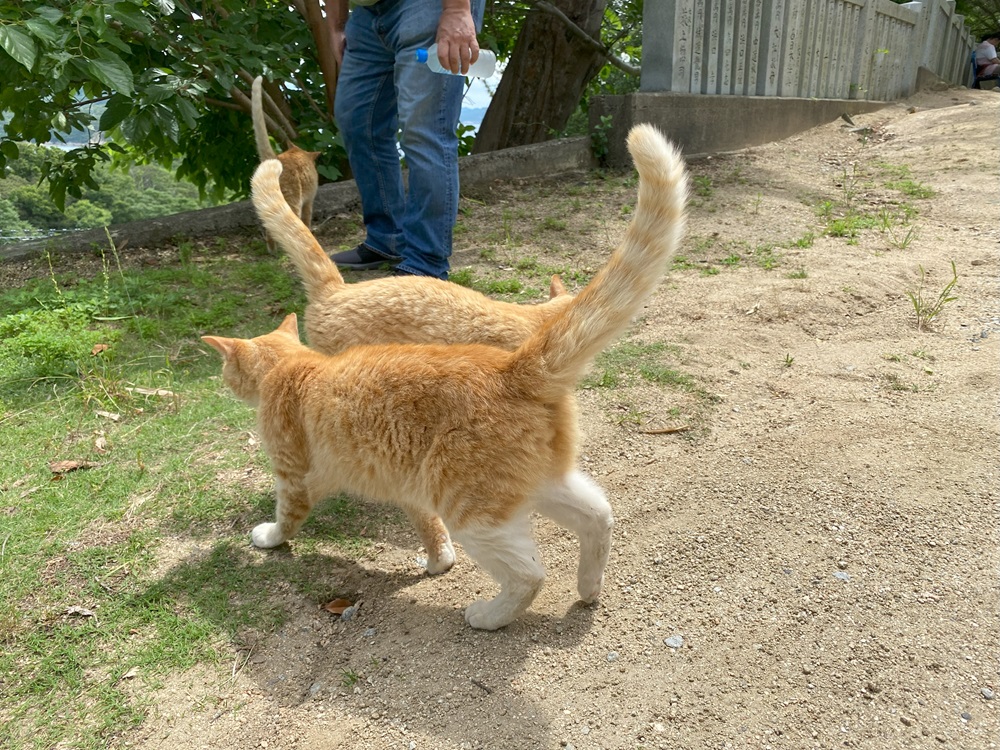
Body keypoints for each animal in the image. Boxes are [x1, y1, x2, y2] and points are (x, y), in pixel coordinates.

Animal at [252, 76, 322, 254]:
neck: (297, 152)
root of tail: (273, 158)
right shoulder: (309, 201)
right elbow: (307, 219)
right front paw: (309, 232)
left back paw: (272, 250)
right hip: (293, 201)